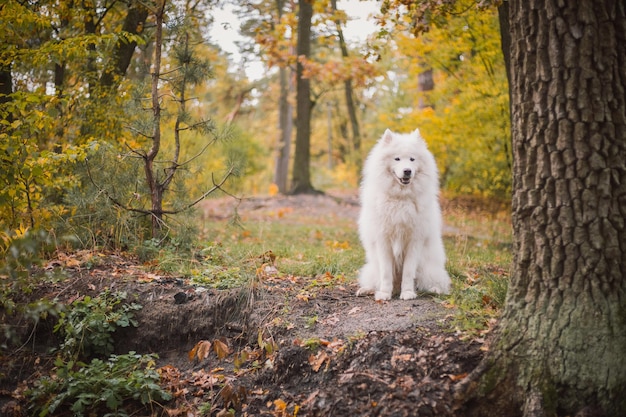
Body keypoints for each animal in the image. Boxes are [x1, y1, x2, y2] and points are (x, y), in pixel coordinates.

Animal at [356, 127, 448, 300]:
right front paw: (384, 294)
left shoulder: (414, 241)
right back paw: (368, 290)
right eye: (397, 159)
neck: (400, 199)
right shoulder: (383, 241)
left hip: (428, 269)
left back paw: (434, 290)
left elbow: (408, 272)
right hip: (372, 268)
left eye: (412, 159)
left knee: (436, 284)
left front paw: (407, 293)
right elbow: (386, 273)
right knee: (376, 280)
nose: (407, 171)